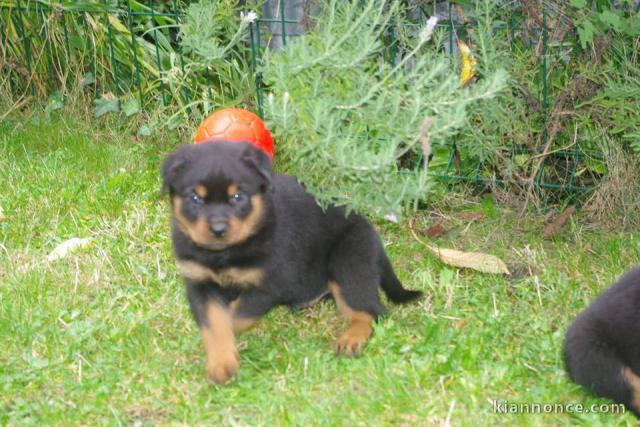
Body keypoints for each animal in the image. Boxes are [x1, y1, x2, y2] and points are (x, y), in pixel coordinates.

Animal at [160, 140, 422, 384]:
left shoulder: (269, 284)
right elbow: (215, 322)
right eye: (195, 198)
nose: (218, 229)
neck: (224, 253)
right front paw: (220, 363)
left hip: (348, 264)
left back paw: (350, 340)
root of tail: (374, 236)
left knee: (371, 312)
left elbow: (234, 317)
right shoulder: (199, 283)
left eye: (238, 197)